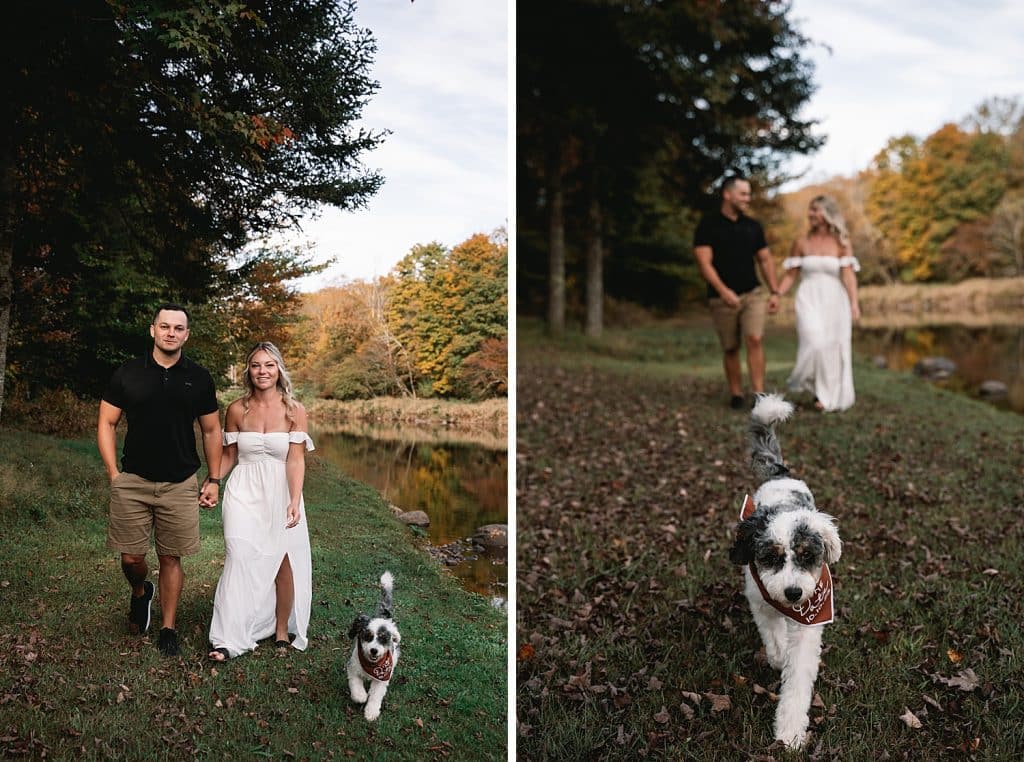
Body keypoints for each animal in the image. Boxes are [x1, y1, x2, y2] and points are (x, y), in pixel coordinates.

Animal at [350, 573, 401, 721]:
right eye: (368, 636)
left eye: (383, 639)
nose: (374, 650)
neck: (372, 665)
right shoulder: (353, 667)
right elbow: (356, 683)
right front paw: (360, 696)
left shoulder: (382, 679)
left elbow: (376, 695)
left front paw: (371, 712)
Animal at [733, 395, 843, 745]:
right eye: (771, 557)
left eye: (808, 556)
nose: (793, 592)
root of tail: (781, 474)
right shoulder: (760, 600)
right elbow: (774, 637)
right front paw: (778, 655)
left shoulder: (810, 623)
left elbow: (798, 677)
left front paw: (790, 731)